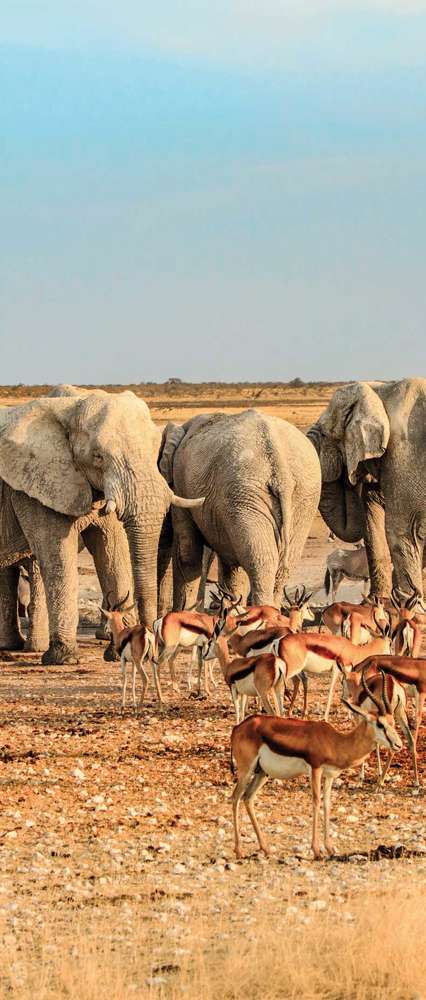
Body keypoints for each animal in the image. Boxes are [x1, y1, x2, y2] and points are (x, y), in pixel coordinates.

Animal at [0, 386, 204, 660]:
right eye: (98, 457)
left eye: (155, 451)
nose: (152, 646)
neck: (71, 407)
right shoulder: (36, 484)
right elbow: (56, 554)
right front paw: (65, 658)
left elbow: (112, 550)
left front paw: (117, 653)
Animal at [158, 408, 322, 608]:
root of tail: (280, 468)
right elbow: (230, 565)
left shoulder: (180, 483)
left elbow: (187, 554)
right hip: (302, 495)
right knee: (282, 565)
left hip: (245, 492)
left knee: (260, 561)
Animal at [231, 676, 402, 864]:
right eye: (380, 724)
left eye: (393, 722)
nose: (398, 745)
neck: (336, 741)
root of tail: (238, 728)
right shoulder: (315, 769)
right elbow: (316, 802)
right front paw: (316, 851)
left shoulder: (330, 776)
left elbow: (327, 804)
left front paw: (330, 848)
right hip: (246, 771)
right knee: (235, 797)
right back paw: (239, 851)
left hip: (262, 773)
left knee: (247, 798)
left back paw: (266, 849)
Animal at [308, 376, 426, 592]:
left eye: (324, 435)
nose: (349, 475)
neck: (381, 390)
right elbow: (372, 524)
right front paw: (380, 598)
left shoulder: (406, 453)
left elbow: (401, 530)